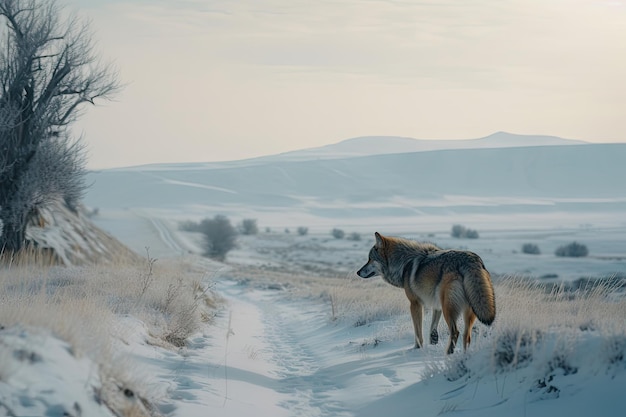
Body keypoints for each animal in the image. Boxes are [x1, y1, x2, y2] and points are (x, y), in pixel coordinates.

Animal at [356, 232, 492, 352]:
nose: (358, 272)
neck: (404, 263)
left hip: (449, 308)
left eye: (370, 259)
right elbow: (432, 326)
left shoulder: (415, 304)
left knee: (455, 332)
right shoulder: (436, 304)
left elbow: (418, 331)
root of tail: (472, 260)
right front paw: (433, 341)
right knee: (466, 336)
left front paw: (417, 349)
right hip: (468, 310)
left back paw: (448, 354)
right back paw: (463, 356)